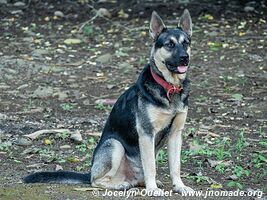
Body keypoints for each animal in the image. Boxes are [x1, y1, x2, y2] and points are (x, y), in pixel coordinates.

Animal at [24, 9, 195, 195]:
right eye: (169, 44)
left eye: (186, 43)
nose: (185, 58)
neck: (169, 87)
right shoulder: (146, 133)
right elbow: (150, 166)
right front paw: (152, 189)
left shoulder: (176, 134)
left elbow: (175, 166)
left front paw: (179, 186)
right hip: (115, 145)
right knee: (95, 181)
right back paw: (121, 184)